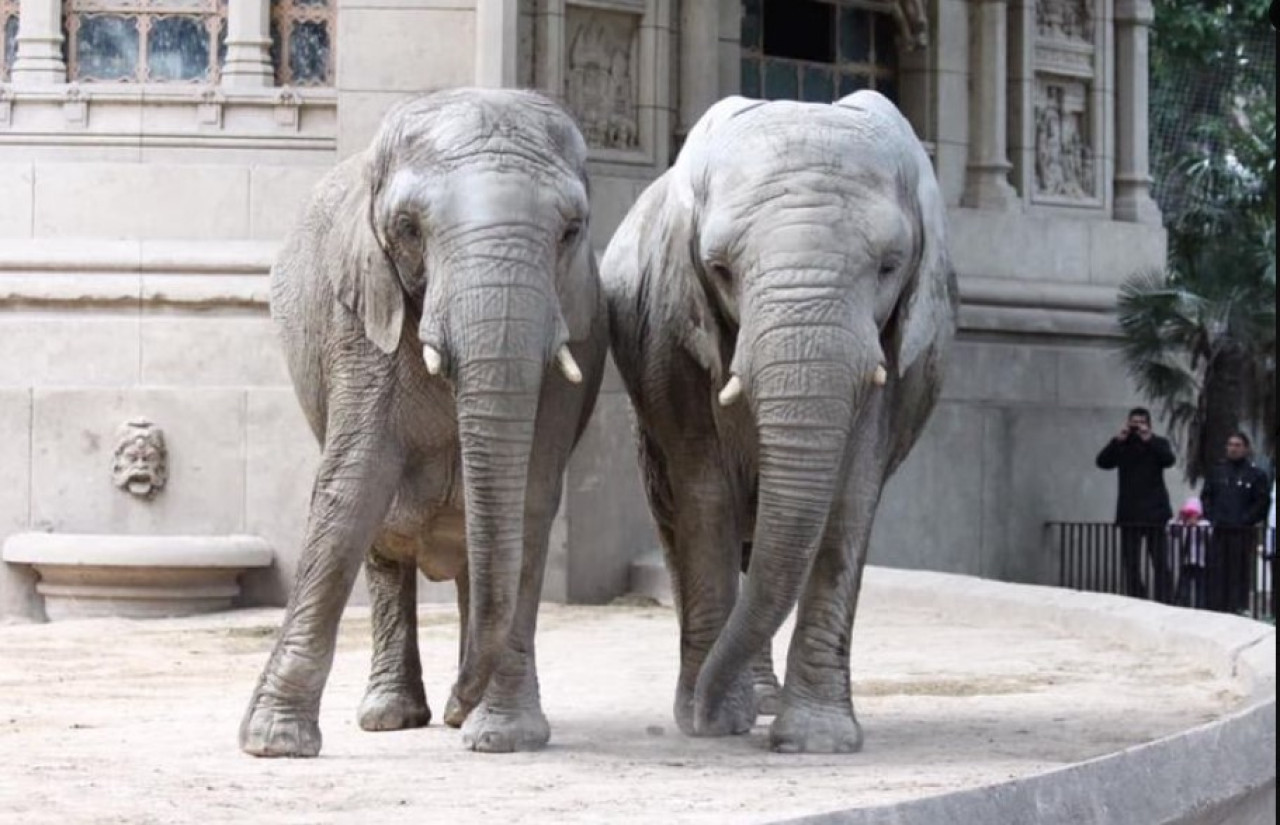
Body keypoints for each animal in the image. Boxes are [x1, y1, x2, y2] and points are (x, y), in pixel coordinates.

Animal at [240, 88, 609, 752]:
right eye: (409, 229)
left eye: (571, 231)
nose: (460, 698)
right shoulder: (358, 315)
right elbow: (352, 488)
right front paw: (274, 743)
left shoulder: (578, 329)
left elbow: (531, 496)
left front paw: (502, 736)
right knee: (385, 545)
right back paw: (392, 716)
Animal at [599, 91, 952, 752]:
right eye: (718, 267)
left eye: (890, 266)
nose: (705, 716)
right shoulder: (675, 340)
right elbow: (705, 496)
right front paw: (712, 723)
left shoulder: (898, 351)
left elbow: (849, 502)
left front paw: (815, 741)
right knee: (683, 522)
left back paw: (762, 703)